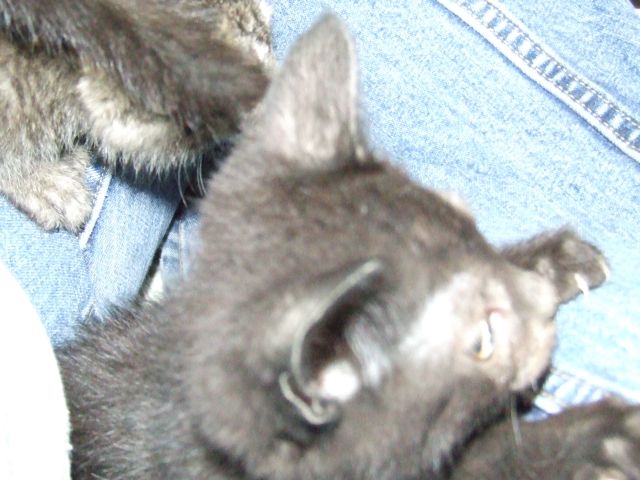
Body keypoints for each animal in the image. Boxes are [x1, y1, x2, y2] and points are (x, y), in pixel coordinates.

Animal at [56, 15, 640, 480]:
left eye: (469, 222)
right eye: (483, 341)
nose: (540, 301)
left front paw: (555, 259)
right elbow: (484, 459)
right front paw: (605, 436)